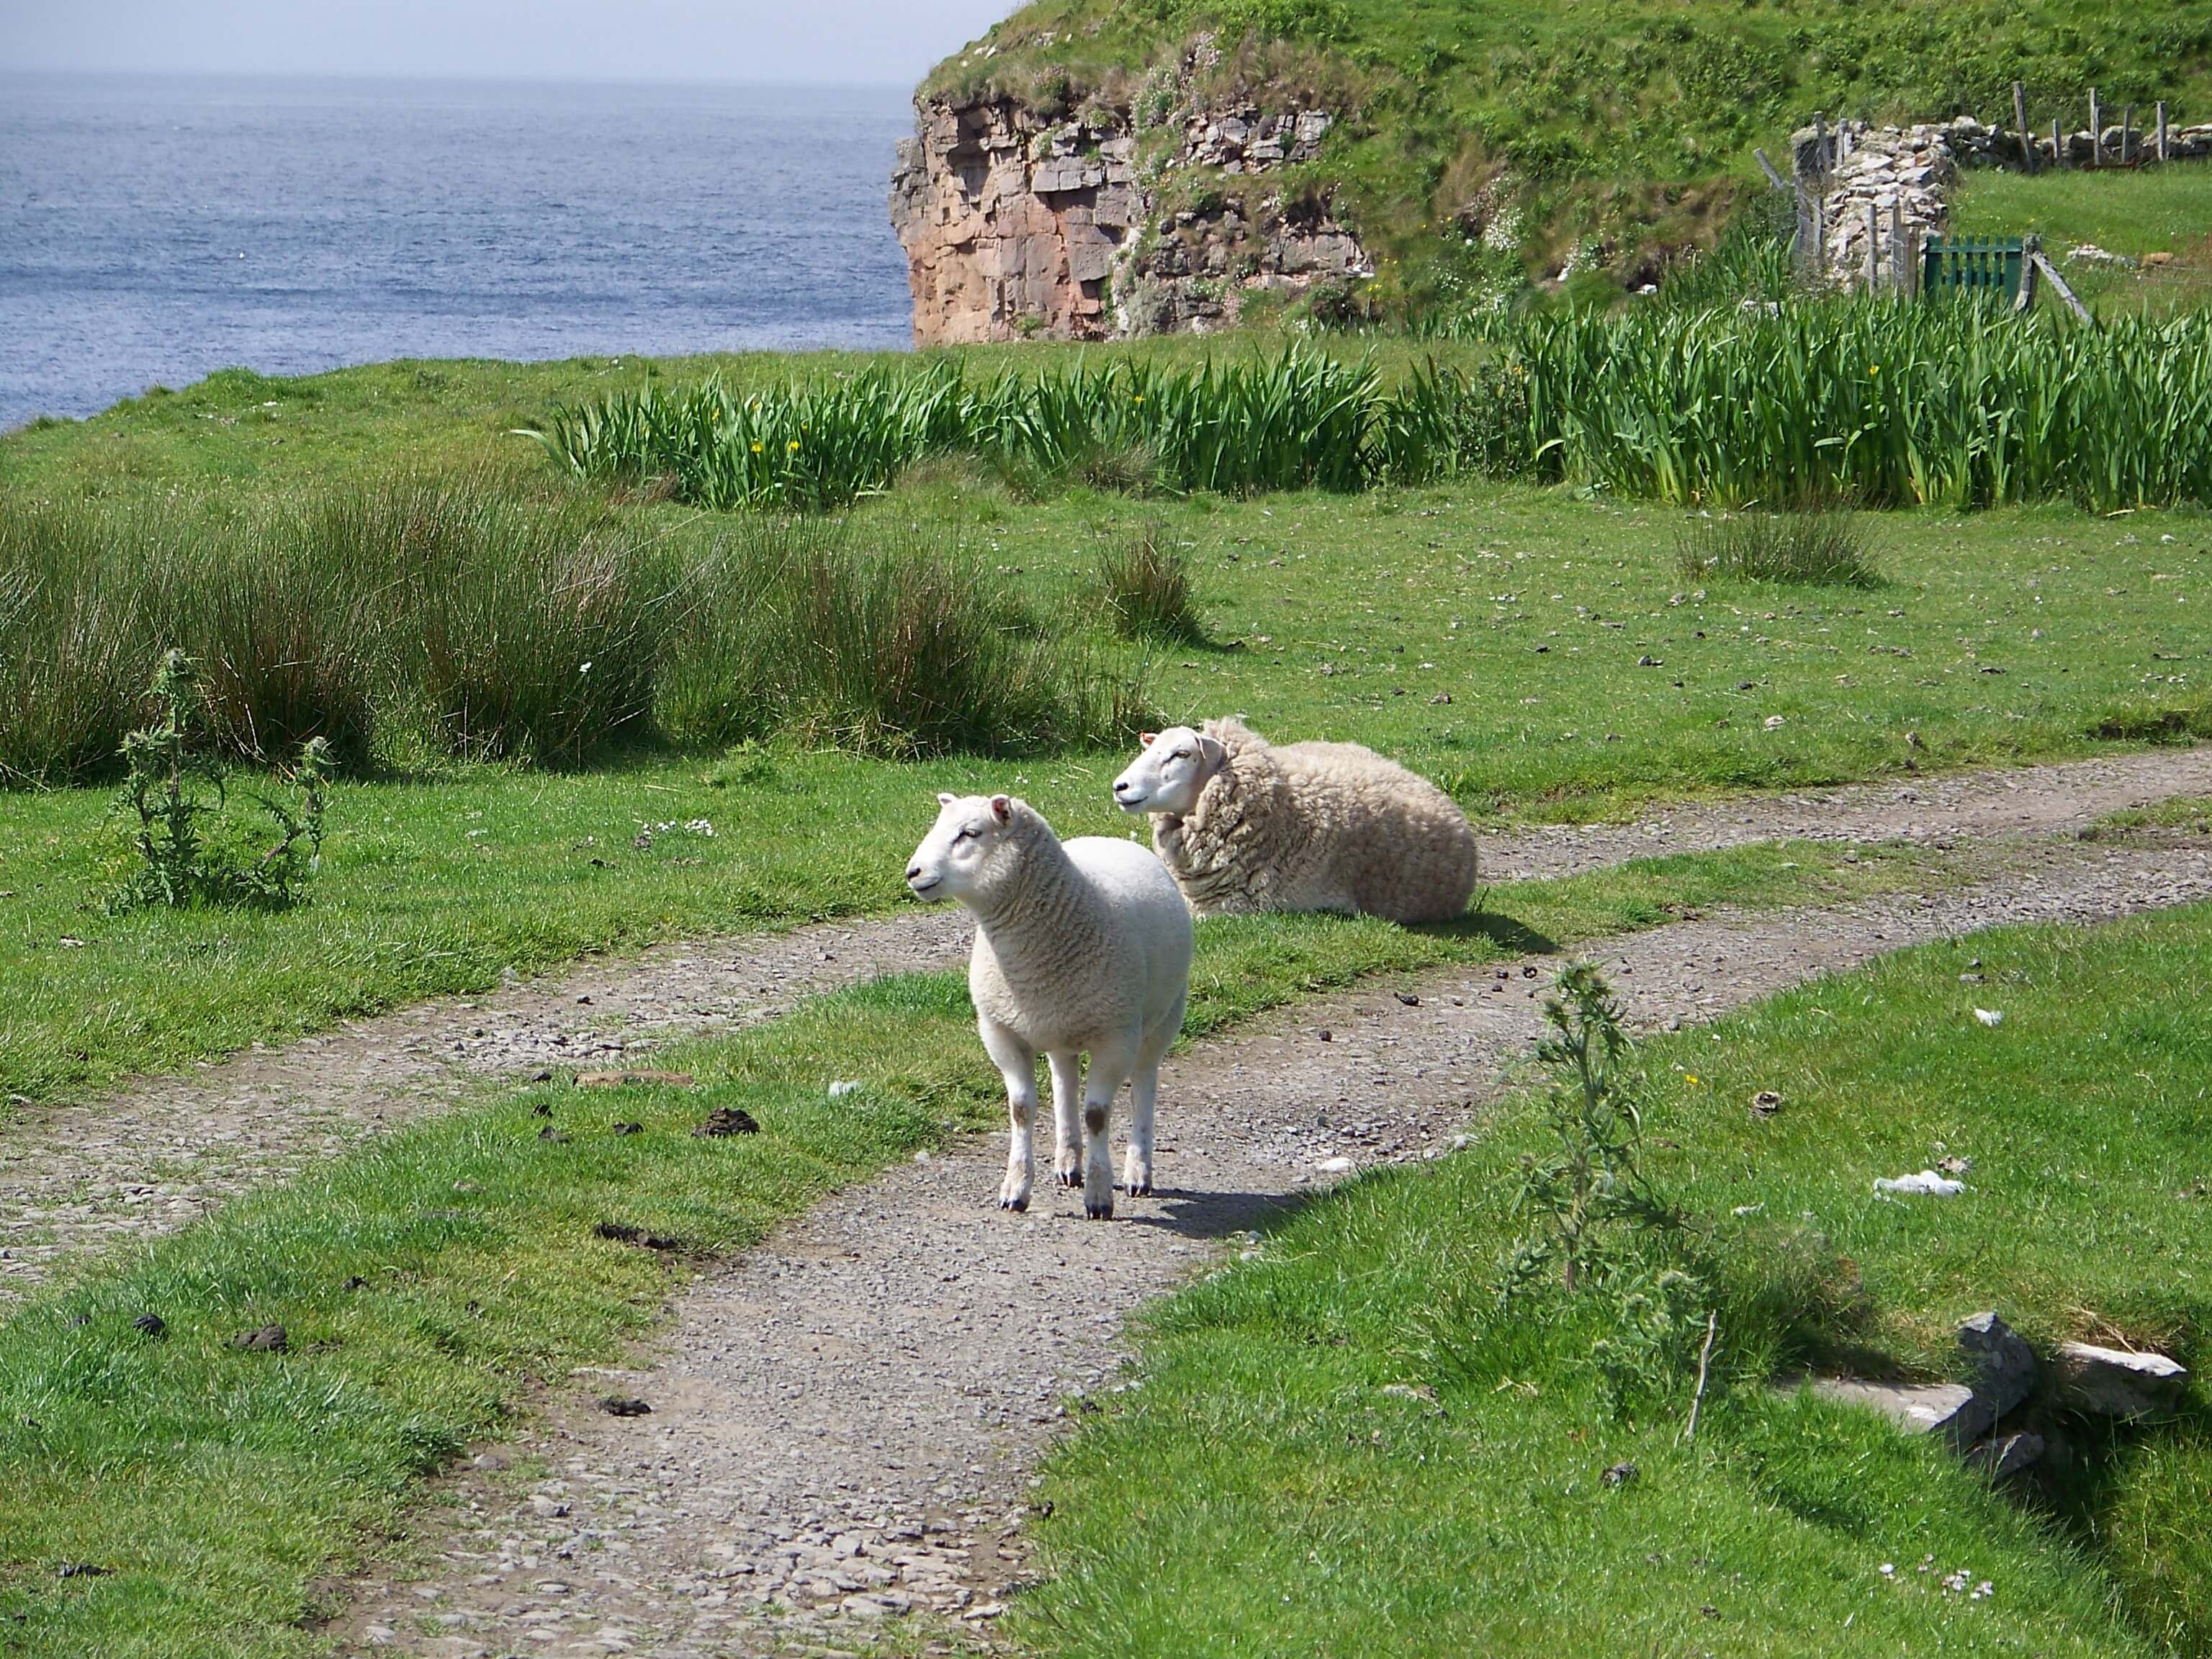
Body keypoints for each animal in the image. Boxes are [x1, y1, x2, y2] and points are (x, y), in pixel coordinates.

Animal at [905, 792, 1193, 1220]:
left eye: (970, 833)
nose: (914, 872)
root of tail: (1108, 838)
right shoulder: (1000, 1032)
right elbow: (1021, 1110)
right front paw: (1015, 1190)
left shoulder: (1115, 1038)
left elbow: (1098, 1116)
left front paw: (1099, 1196)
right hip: (1060, 1027)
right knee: (1064, 1080)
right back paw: (1068, 1162)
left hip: (1162, 1019)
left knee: (1144, 1084)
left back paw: (1137, 1172)